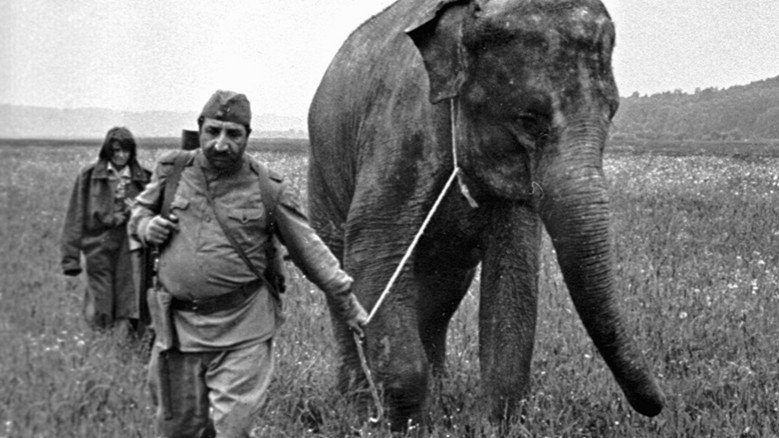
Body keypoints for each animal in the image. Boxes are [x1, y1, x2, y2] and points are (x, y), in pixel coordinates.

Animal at [307, 0, 665, 428]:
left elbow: (513, 270)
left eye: (612, 113)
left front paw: (491, 425)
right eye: (528, 119)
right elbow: (375, 255)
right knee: (339, 279)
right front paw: (408, 427)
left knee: (441, 295)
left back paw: (437, 400)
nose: (659, 405)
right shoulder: (396, 131)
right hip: (322, 177)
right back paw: (360, 408)